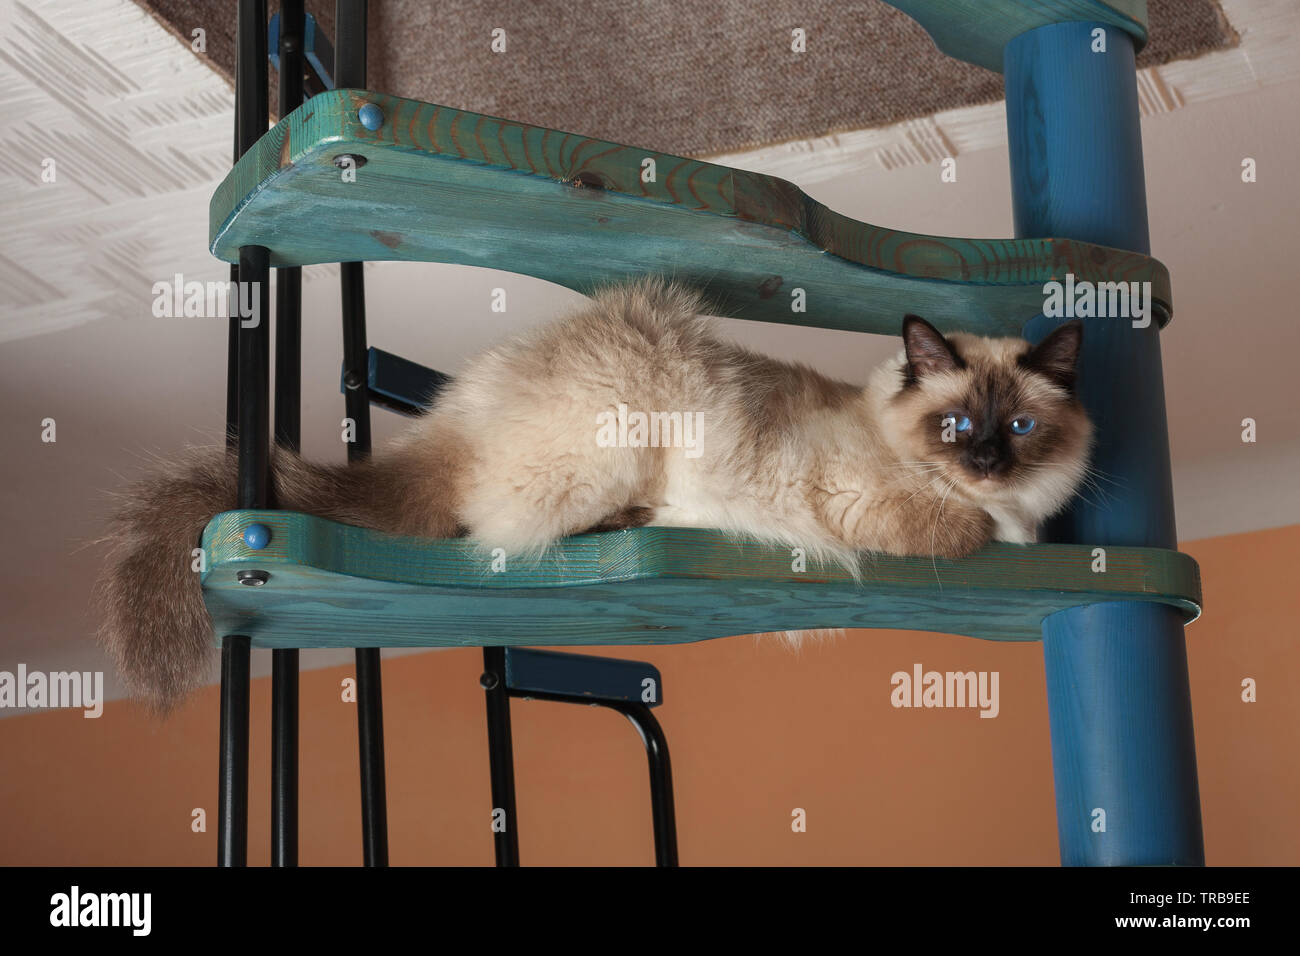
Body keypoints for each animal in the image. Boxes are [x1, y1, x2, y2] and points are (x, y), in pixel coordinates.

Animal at [94, 277, 1086, 712]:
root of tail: (454, 414)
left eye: (1019, 428)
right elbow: (958, 532)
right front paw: (989, 529)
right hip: (632, 408)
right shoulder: (862, 502)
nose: (988, 463)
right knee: (508, 527)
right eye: (957, 427)